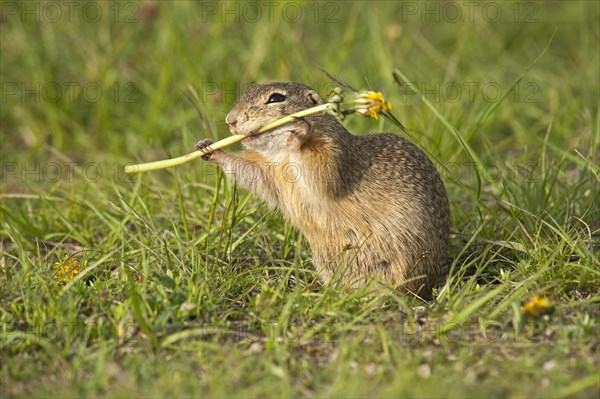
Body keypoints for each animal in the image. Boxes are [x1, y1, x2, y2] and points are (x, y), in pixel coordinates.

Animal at [197, 83, 450, 298]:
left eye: (276, 98)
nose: (230, 120)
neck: (282, 156)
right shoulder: (269, 172)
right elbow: (250, 171)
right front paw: (208, 148)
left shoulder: (333, 151)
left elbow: (322, 173)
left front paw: (299, 132)